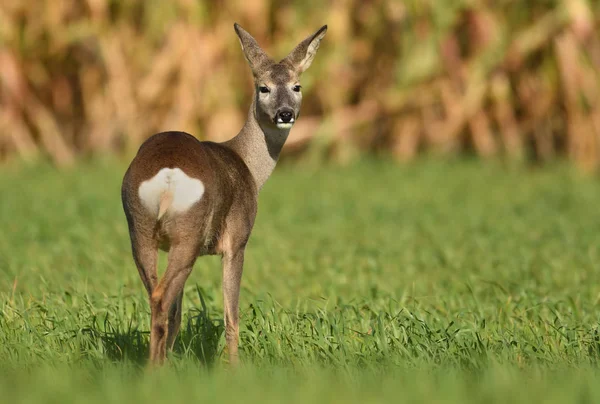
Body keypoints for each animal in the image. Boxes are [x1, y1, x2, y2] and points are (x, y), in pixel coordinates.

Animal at [121, 22, 326, 364]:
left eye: (296, 86)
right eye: (263, 88)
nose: (285, 113)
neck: (248, 165)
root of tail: (168, 174)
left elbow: (180, 315)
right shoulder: (237, 241)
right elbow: (232, 316)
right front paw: (234, 368)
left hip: (141, 228)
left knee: (157, 301)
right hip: (188, 233)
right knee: (162, 298)